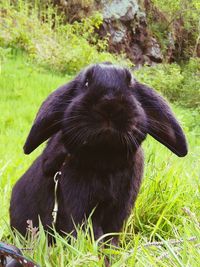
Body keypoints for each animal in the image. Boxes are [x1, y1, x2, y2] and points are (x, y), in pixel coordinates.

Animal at [9, 63, 188, 244]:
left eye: (130, 83)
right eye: (86, 82)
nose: (109, 105)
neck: (105, 158)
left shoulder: (120, 209)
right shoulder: (78, 206)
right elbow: (90, 233)